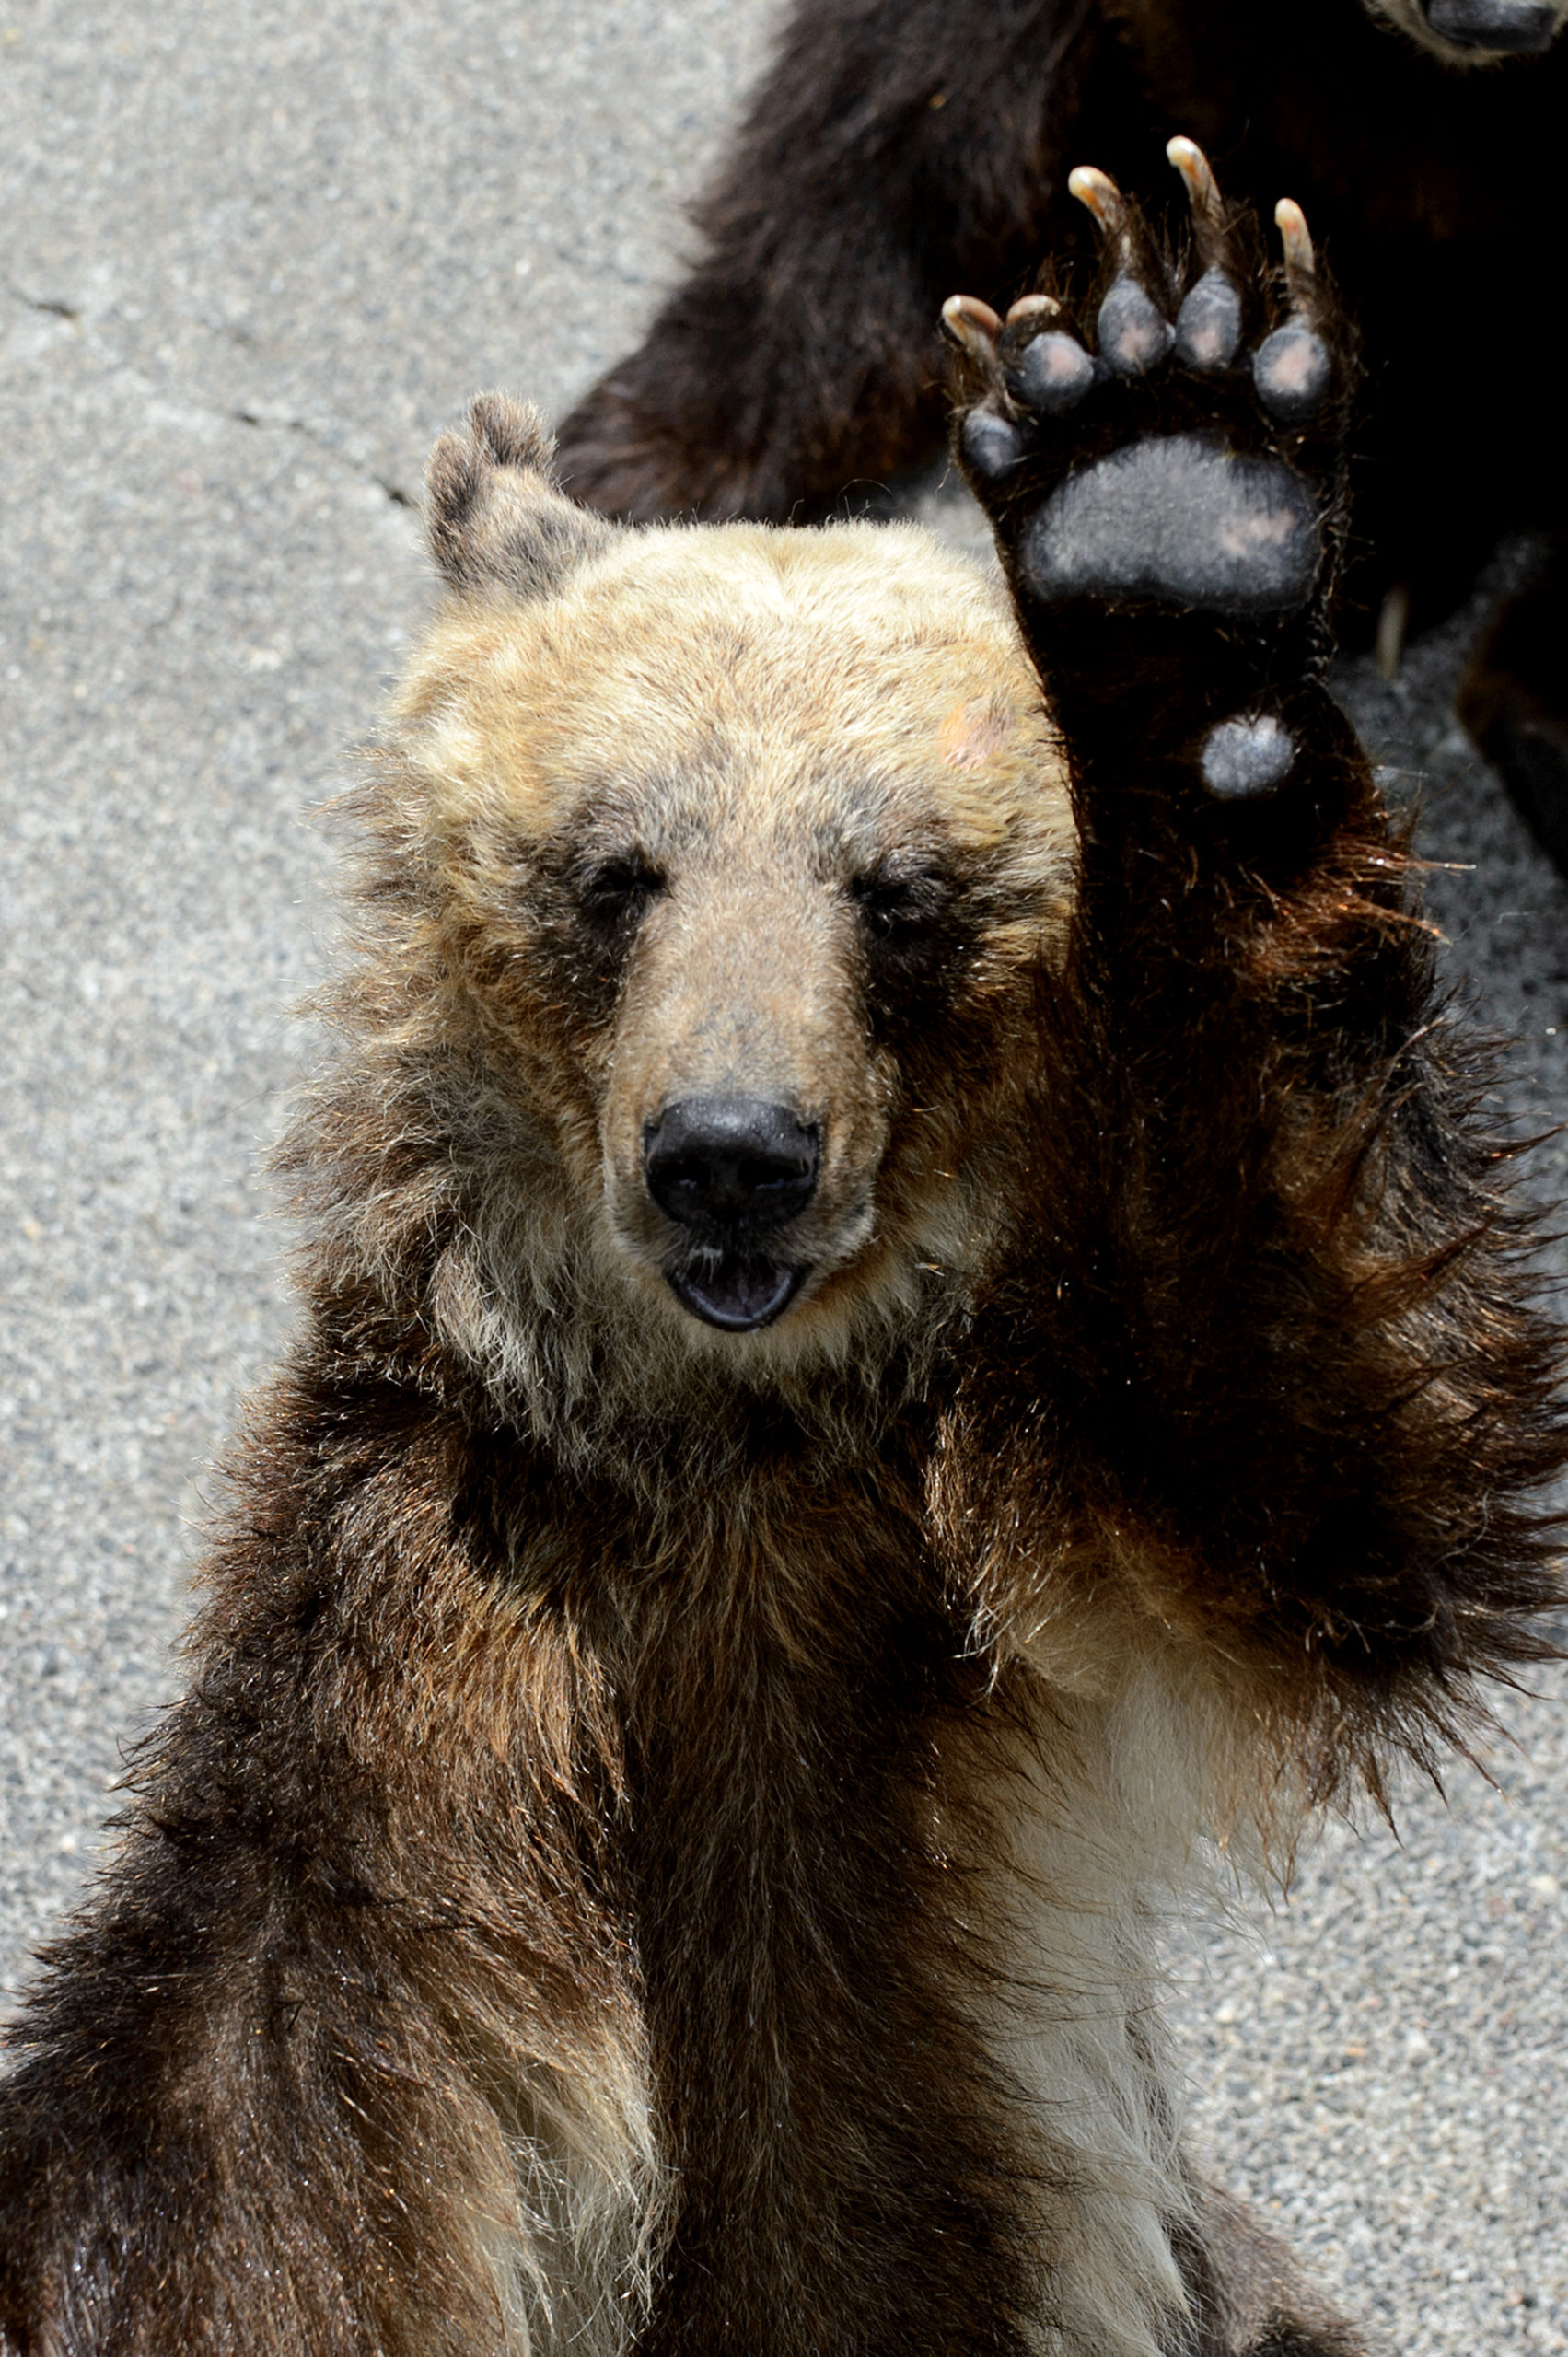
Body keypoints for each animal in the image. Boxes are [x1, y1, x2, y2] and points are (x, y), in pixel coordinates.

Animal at [3, 152, 1565, 2357]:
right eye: (614, 870)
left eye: (895, 890)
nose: (727, 1158)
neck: (730, 1436)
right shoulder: (437, 1637)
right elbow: (231, 2106)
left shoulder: (987, 1566)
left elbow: (1320, 1460)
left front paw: (1164, 502)